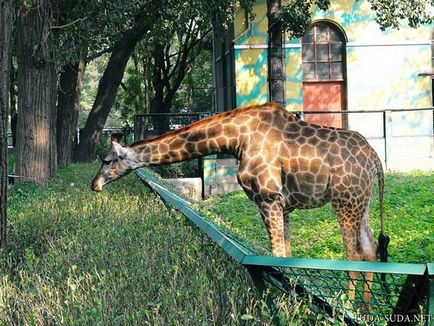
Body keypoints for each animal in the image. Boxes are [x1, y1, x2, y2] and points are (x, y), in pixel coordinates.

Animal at [92, 102, 390, 306]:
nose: (94, 184)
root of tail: (376, 161)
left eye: (107, 160)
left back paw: (348, 307)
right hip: (361, 201)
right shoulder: (284, 205)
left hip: (344, 199)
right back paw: (364, 310)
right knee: (370, 248)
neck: (237, 139)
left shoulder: (268, 199)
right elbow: (287, 259)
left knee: (353, 254)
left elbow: (277, 258)